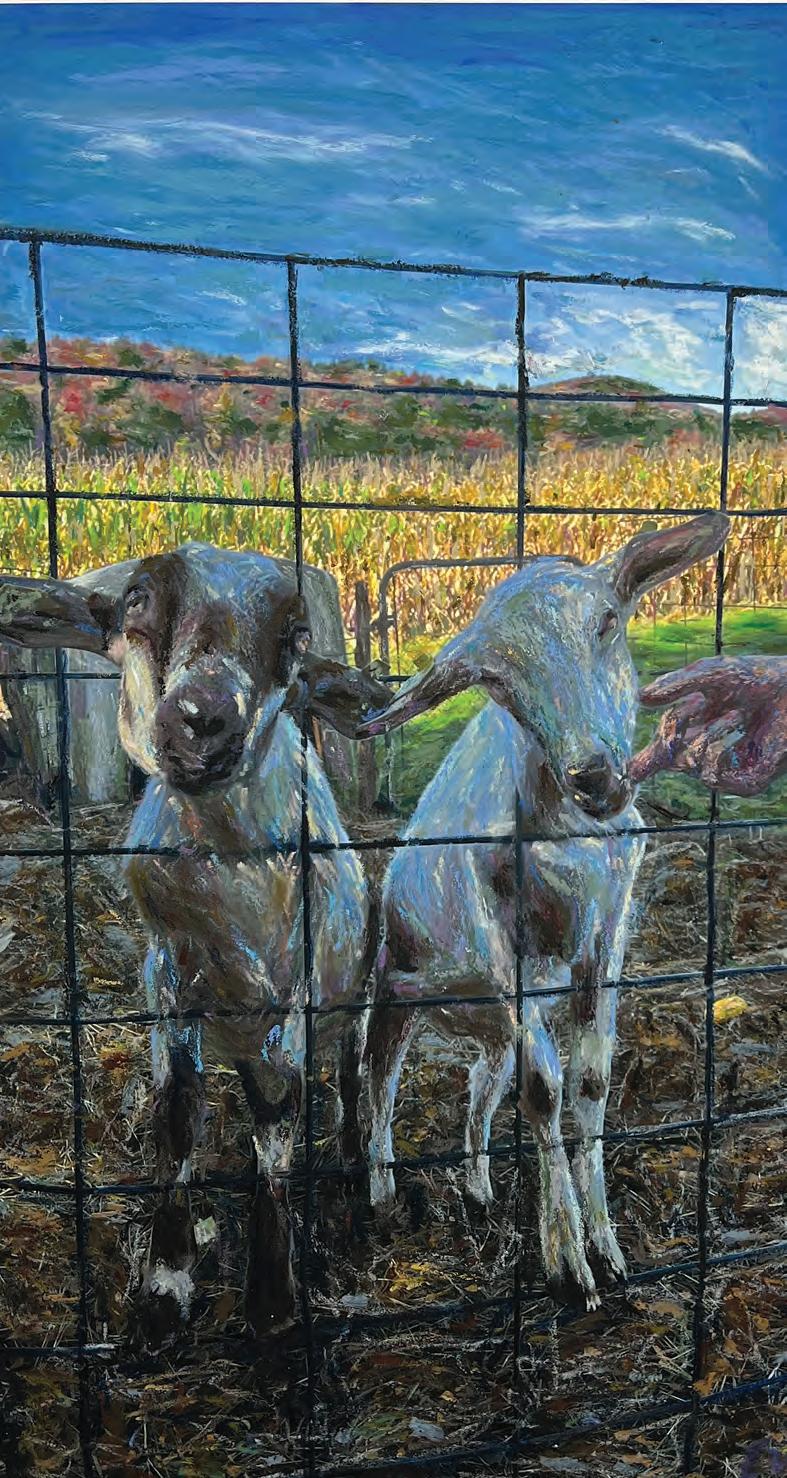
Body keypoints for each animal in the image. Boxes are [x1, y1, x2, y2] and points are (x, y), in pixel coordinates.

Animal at [0, 542, 388, 1343]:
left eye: (298, 635)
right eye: (136, 597)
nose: (202, 719)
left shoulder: (291, 1002)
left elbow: (277, 1116)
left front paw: (271, 1298)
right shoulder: (169, 989)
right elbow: (176, 1118)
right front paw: (164, 1285)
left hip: (358, 990)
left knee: (353, 1079)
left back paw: (355, 1179)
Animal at [357, 514, 729, 1309]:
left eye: (607, 622)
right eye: (494, 680)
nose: (594, 775)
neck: (566, 836)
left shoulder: (606, 934)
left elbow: (587, 1085)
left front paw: (607, 1251)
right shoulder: (504, 939)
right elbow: (544, 1091)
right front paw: (566, 1263)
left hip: (489, 1025)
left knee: (477, 1088)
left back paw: (477, 1191)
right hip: (396, 987)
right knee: (378, 1084)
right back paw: (381, 1196)